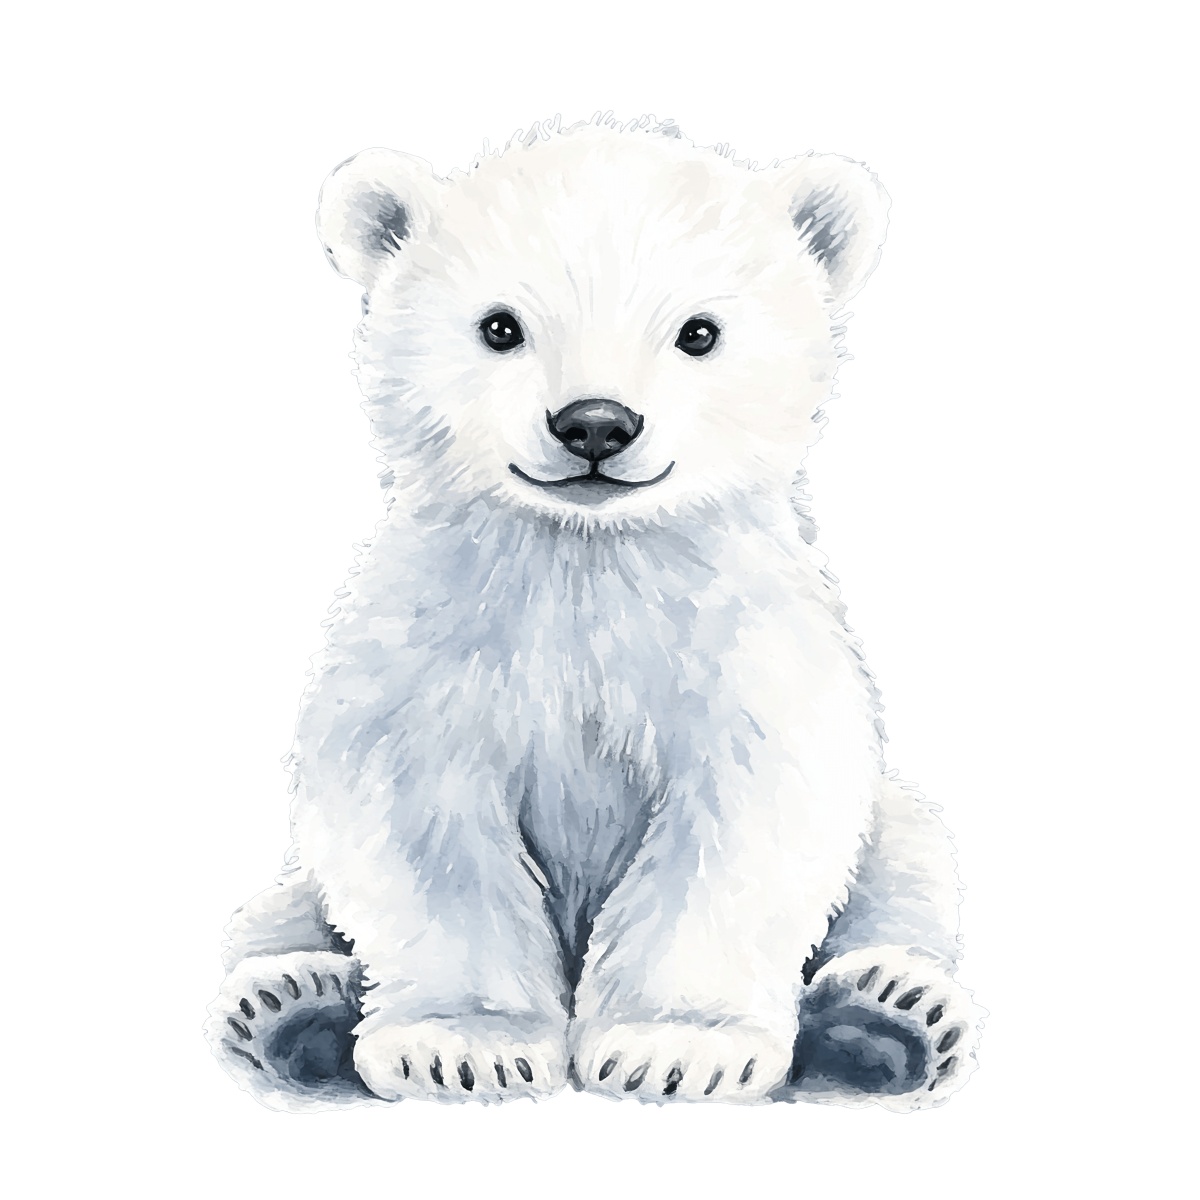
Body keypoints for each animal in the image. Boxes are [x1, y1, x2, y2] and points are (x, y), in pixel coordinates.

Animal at [205, 114, 982, 1112]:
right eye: (501, 326)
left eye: (699, 332)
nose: (596, 424)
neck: (586, 556)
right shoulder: (433, 643)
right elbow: (420, 823)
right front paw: (463, 1045)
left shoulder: (744, 650)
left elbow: (748, 819)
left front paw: (677, 1046)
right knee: (271, 909)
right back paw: (290, 1005)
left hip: (892, 831)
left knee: (911, 859)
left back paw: (888, 1014)